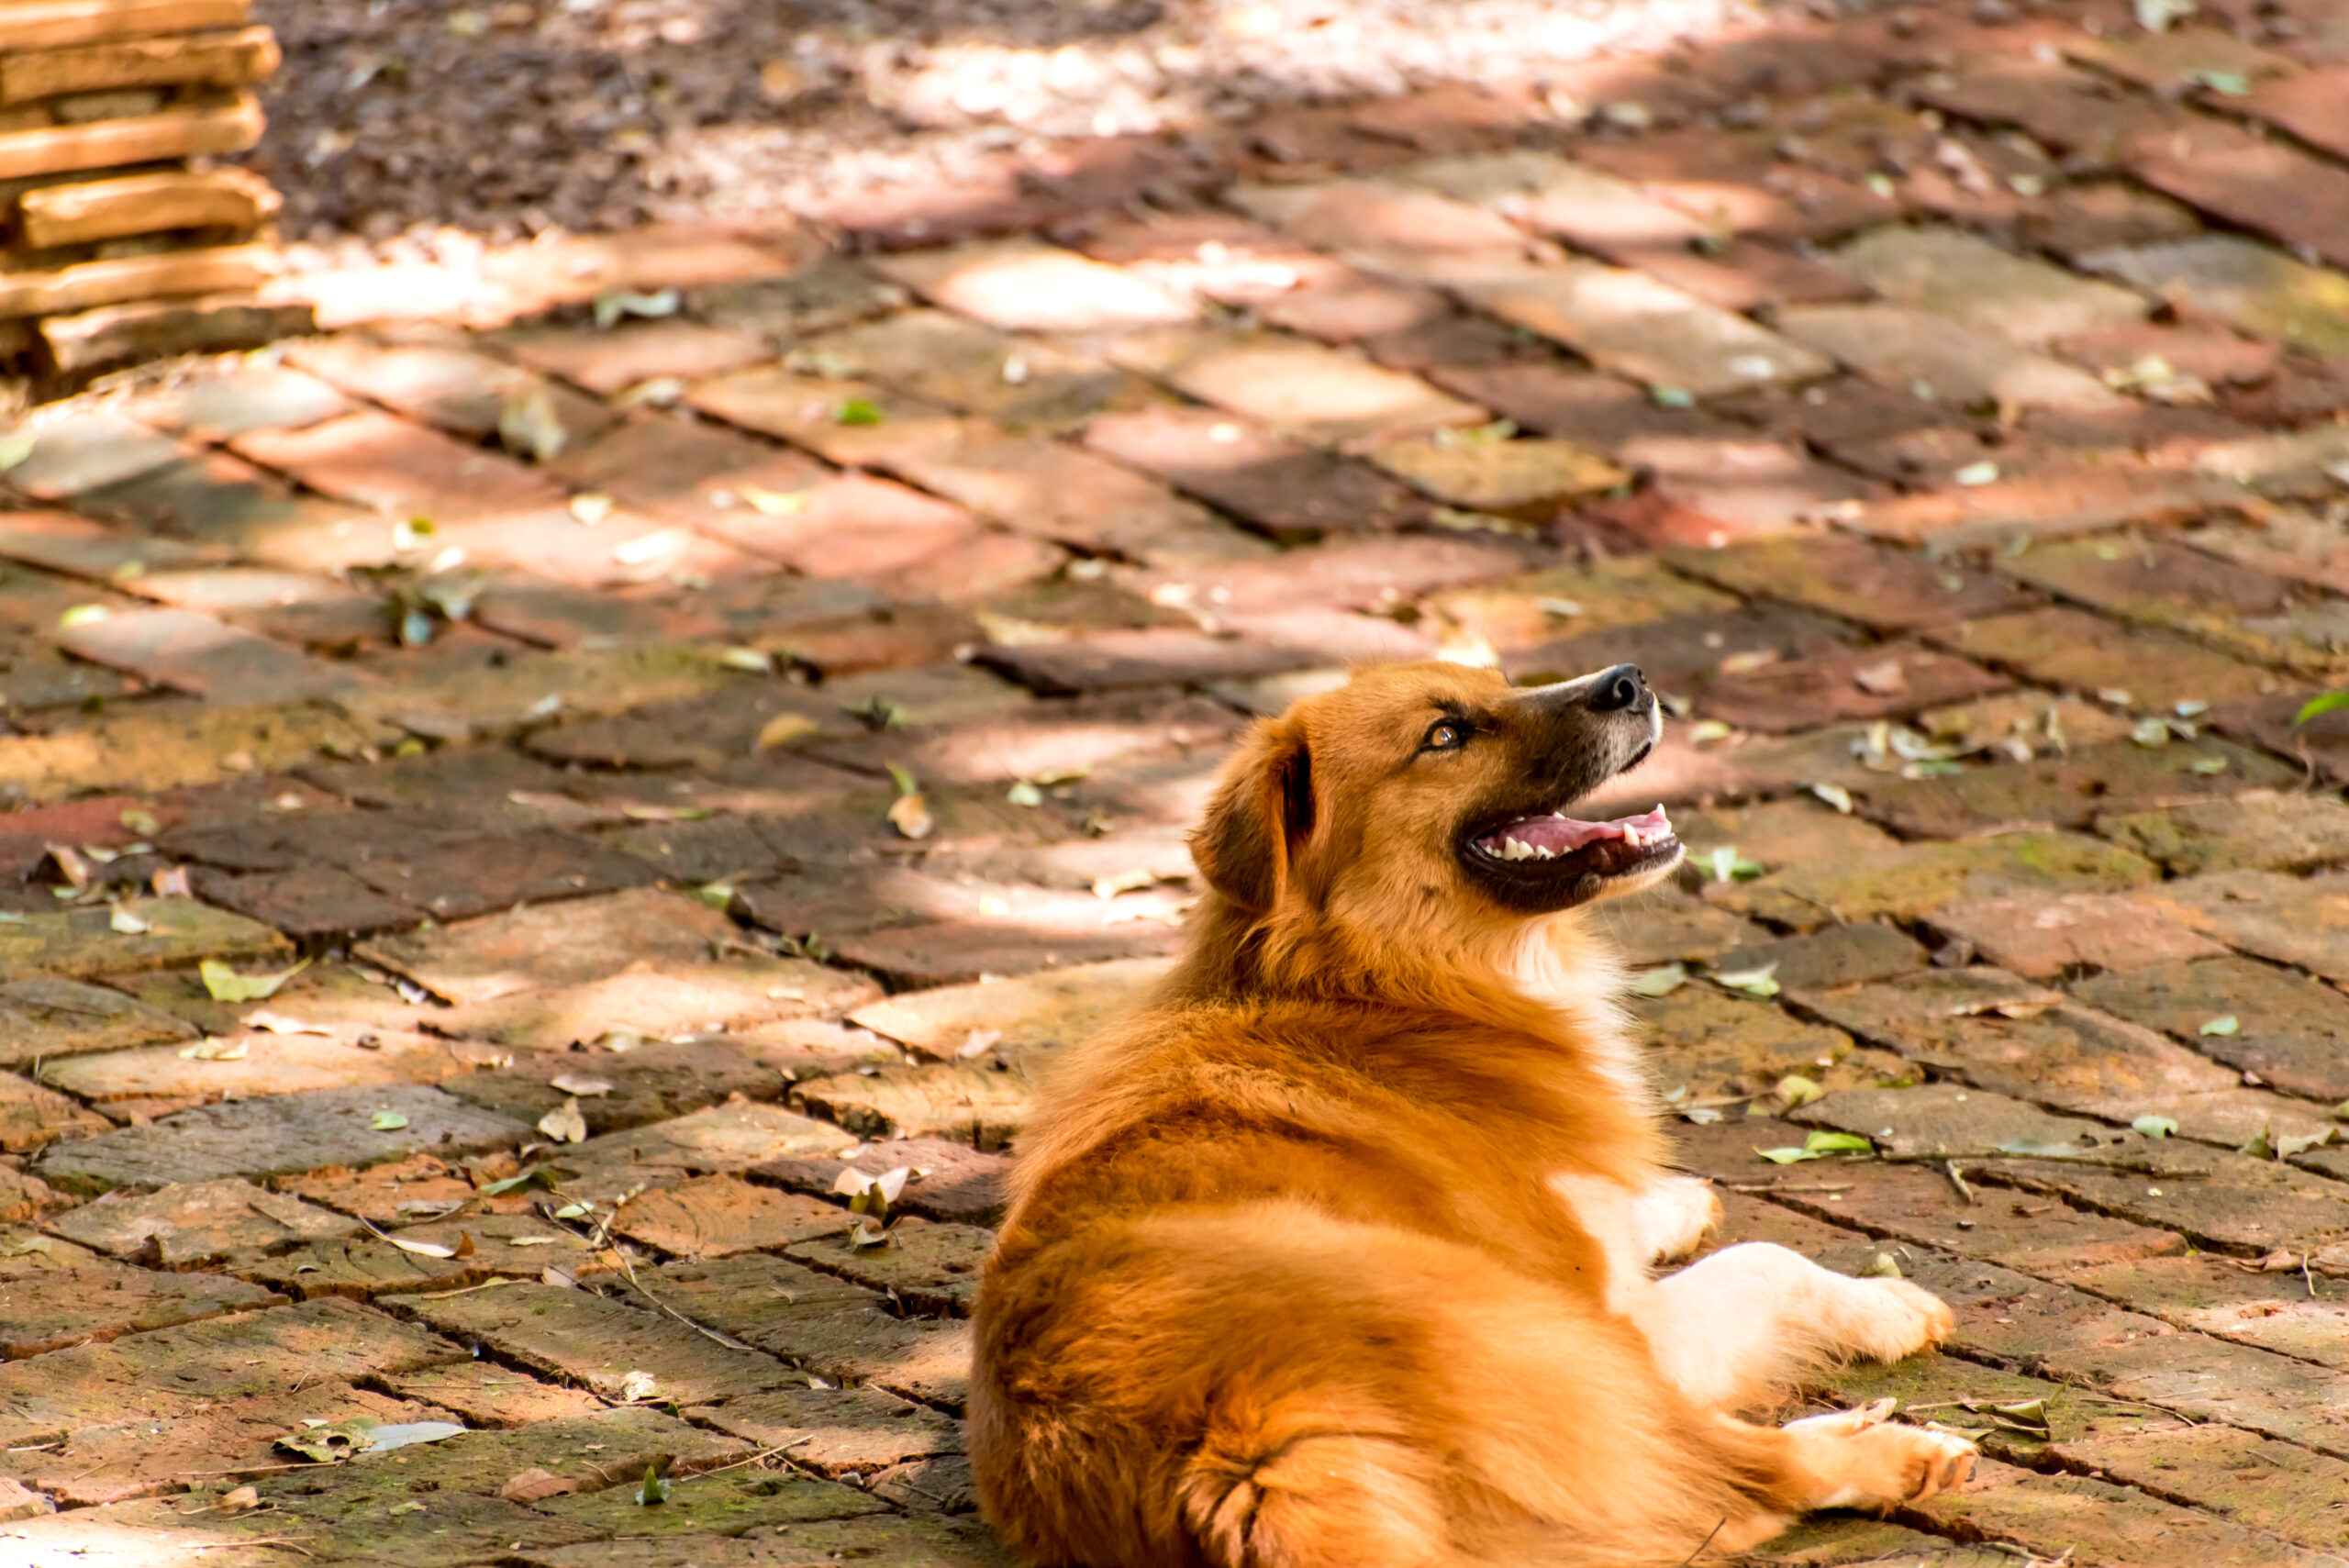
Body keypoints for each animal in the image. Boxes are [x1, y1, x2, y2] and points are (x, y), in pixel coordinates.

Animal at [963, 662, 1973, 1568]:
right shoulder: (1628, 1322)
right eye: (1444, 734)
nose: (1631, 679)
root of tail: (1243, 1448)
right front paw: (1886, 1304)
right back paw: (1888, 1451)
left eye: (1499, 684)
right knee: (1739, 1478)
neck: (1381, 985)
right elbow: (1767, 1261)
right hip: (1576, 1357)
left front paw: (1664, 1200)